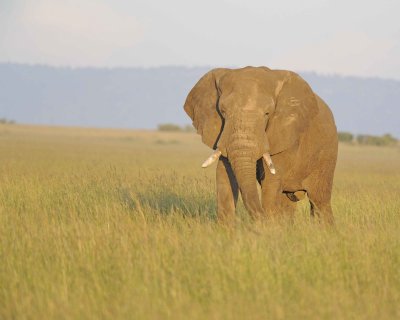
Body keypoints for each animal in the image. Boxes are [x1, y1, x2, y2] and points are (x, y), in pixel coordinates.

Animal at [184, 66, 338, 224]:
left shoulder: (284, 135)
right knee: (288, 201)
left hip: (327, 155)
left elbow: (271, 180)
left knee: (319, 200)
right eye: (223, 111)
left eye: (267, 113)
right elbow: (223, 175)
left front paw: (269, 226)